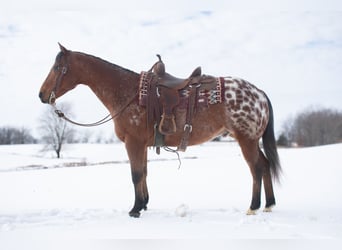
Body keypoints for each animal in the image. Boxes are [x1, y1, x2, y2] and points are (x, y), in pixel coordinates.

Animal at [38, 44, 282, 218]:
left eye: (58, 68)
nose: (41, 94)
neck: (129, 93)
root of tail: (259, 92)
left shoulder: (133, 143)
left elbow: (136, 174)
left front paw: (135, 209)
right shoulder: (142, 145)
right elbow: (144, 173)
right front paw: (144, 204)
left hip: (246, 140)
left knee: (256, 168)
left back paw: (253, 206)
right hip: (252, 140)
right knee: (265, 165)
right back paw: (269, 204)